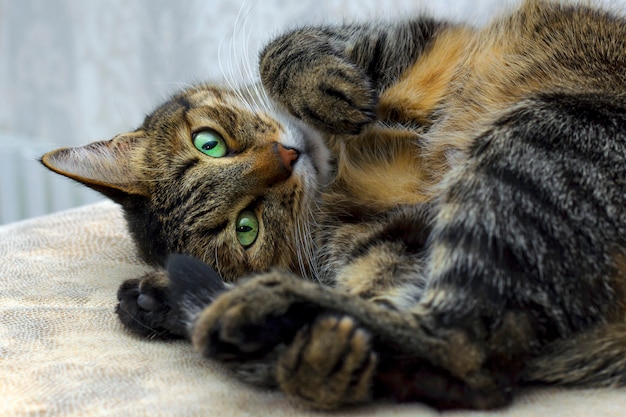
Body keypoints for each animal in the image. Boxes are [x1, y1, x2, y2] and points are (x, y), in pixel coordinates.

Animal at [40, 0, 624, 410]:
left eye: (209, 143)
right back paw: (246, 315)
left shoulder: (408, 39)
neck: (339, 159)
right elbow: (372, 290)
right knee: (472, 356)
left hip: (537, 135)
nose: (287, 155)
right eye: (247, 227)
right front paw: (323, 363)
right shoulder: (385, 239)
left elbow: (281, 49)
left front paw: (322, 87)